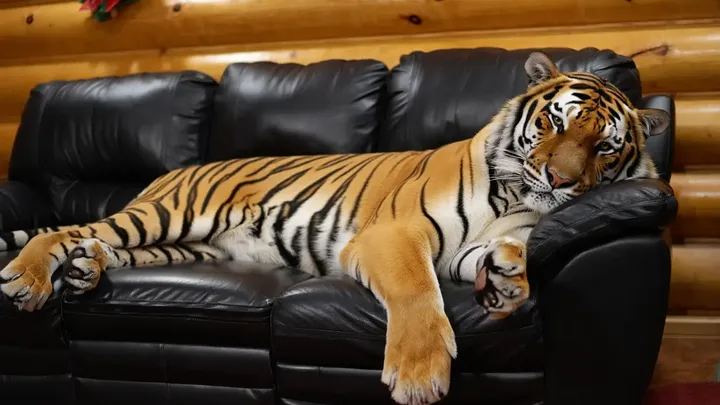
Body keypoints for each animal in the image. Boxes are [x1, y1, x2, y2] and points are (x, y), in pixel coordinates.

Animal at [0, 52, 668, 405]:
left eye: (605, 147)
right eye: (556, 123)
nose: (560, 180)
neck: (512, 191)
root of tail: (168, 175)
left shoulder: (475, 244)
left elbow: (499, 257)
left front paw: (507, 280)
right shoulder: (394, 236)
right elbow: (418, 294)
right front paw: (420, 375)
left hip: (180, 245)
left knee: (100, 243)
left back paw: (83, 272)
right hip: (169, 213)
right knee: (65, 228)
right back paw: (28, 279)